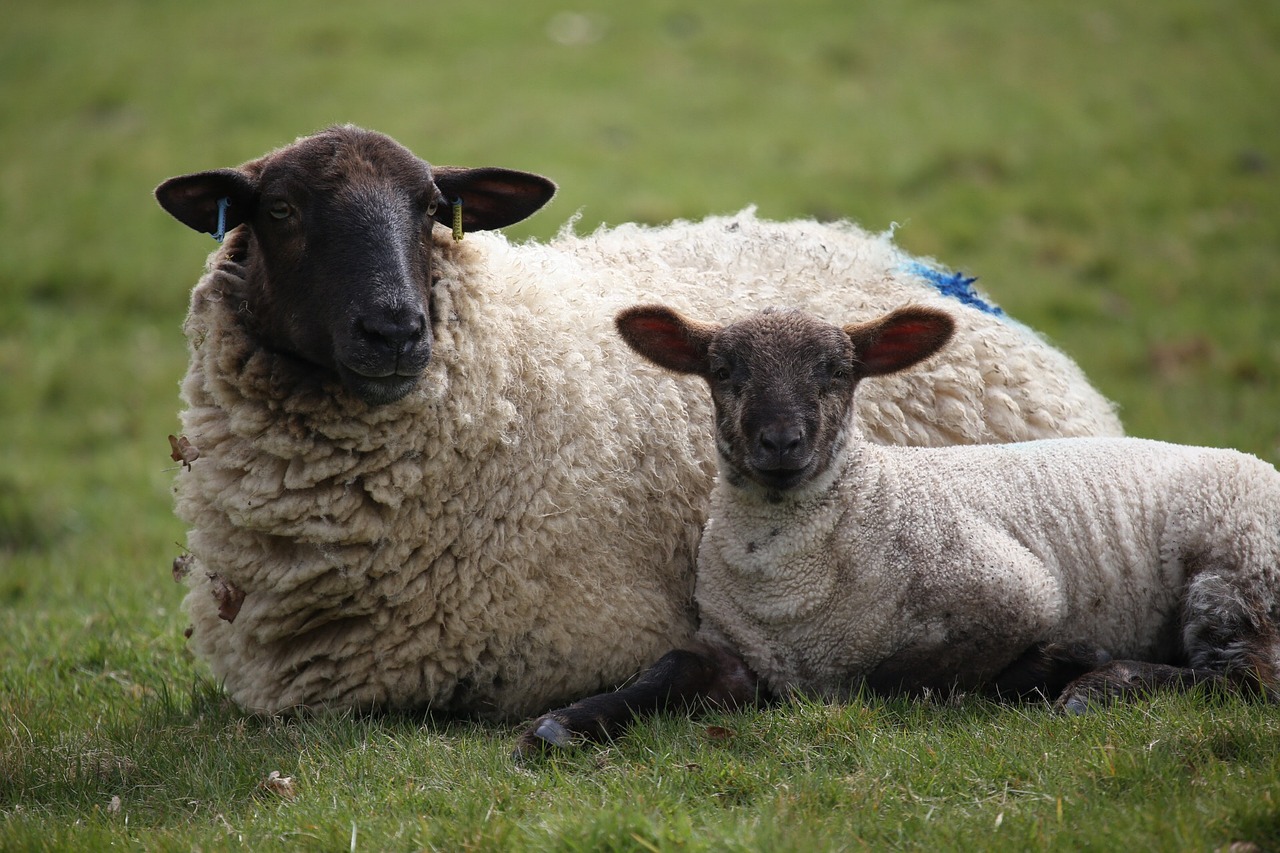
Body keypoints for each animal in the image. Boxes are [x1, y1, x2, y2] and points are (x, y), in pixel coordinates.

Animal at [514, 300, 1274, 753]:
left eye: (837, 371)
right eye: (723, 371)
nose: (781, 441)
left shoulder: (1017, 594)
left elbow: (898, 678)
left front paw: (1058, 663)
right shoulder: (735, 649)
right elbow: (669, 668)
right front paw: (561, 725)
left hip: (1236, 576)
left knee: (1241, 679)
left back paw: (1096, 687)